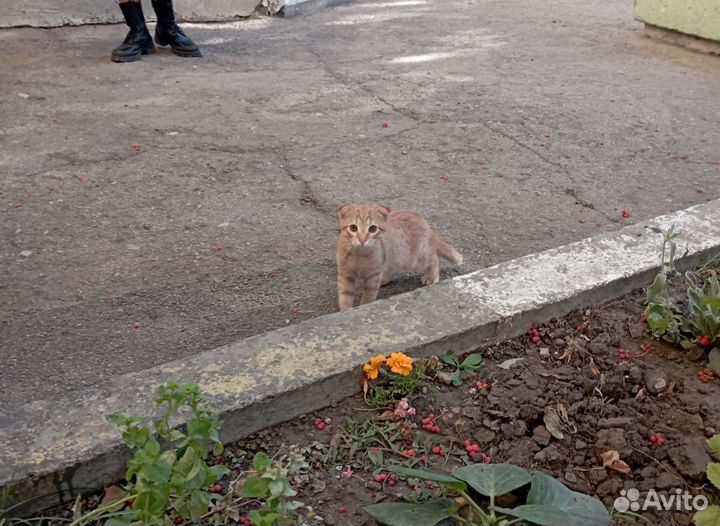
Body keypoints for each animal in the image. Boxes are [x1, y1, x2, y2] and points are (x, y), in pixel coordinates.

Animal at [336, 205, 464, 314]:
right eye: (353, 228)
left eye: (372, 229)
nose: (362, 240)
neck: (359, 254)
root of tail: (422, 220)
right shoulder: (345, 273)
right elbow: (345, 295)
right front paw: (345, 311)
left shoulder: (373, 275)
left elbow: (369, 294)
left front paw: (364, 306)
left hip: (417, 258)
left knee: (433, 258)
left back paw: (431, 276)